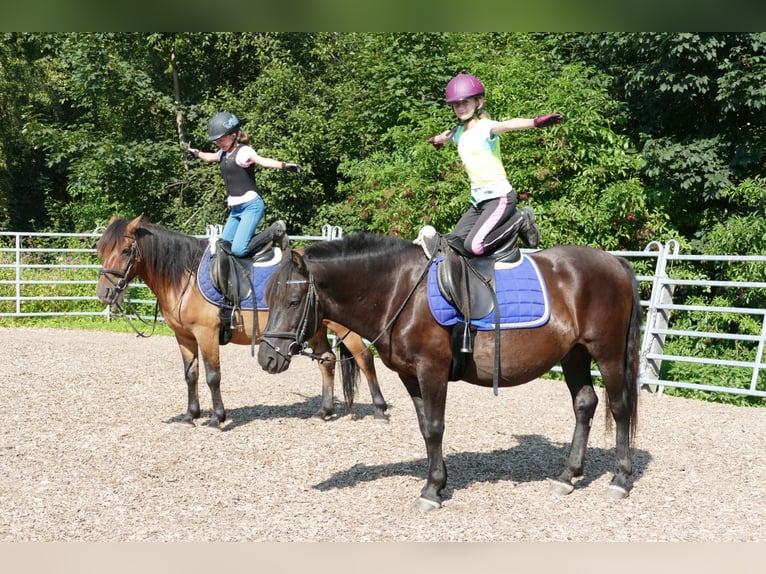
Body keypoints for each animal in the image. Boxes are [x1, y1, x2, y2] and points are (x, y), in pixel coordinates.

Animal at [94, 216, 390, 428]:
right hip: (316, 328)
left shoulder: (207, 334)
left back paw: (379, 408)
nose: (104, 292)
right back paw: (324, 411)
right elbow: (191, 375)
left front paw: (217, 418)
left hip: (345, 327)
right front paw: (190, 416)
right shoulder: (184, 337)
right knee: (327, 361)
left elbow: (212, 376)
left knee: (364, 357)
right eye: (100, 250)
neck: (186, 278)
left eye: (125, 250)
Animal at [258, 234, 640, 512]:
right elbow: (425, 427)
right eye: (268, 298)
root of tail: (615, 262)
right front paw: (436, 483)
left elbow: (435, 427)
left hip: (605, 353)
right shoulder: (409, 375)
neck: (398, 291)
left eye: (293, 302)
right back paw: (567, 475)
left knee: (621, 408)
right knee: (585, 404)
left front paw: (431, 490)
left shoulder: (432, 370)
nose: (267, 358)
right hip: (574, 354)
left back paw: (620, 480)